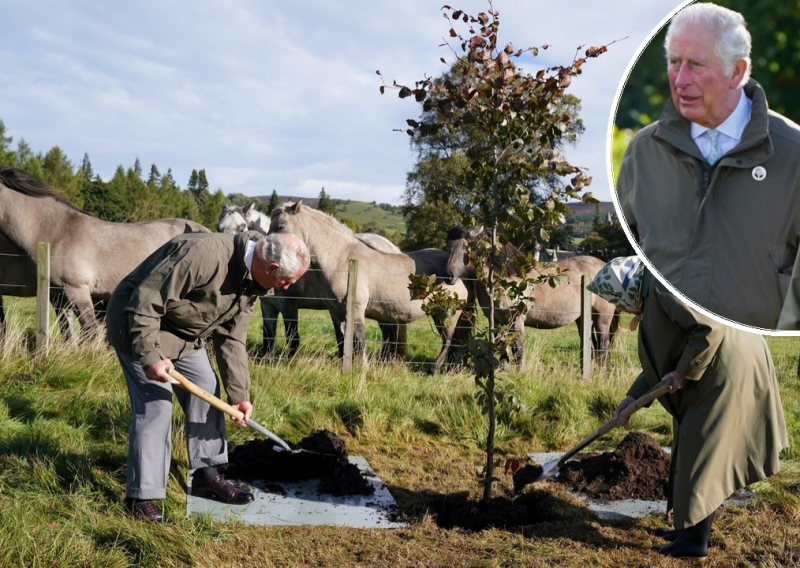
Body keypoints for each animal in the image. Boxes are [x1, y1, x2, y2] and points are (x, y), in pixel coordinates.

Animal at [217, 202, 412, 358]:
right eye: (219, 228)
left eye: (242, 227)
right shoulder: (268, 306)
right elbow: (269, 336)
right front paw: (268, 360)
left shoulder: (289, 304)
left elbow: (292, 336)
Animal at [268, 200, 468, 368]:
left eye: (281, 226)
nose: (268, 258)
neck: (341, 258)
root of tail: (456, 273)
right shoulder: (337, 312)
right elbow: (344, 340)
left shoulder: (356, 309)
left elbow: (359, 340)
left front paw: (362, 368)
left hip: (447, 314)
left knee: (449, 341)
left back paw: (435, 368)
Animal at [444, 224, 620, 366]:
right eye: (448, 246)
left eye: (467, 246)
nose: (448, 275)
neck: (507, 278)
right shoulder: (499, 322)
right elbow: (503, 354)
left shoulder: (516, 322)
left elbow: (518, 353)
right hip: (582, 319)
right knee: (590, 347)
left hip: (602, 319)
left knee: (603, 348)